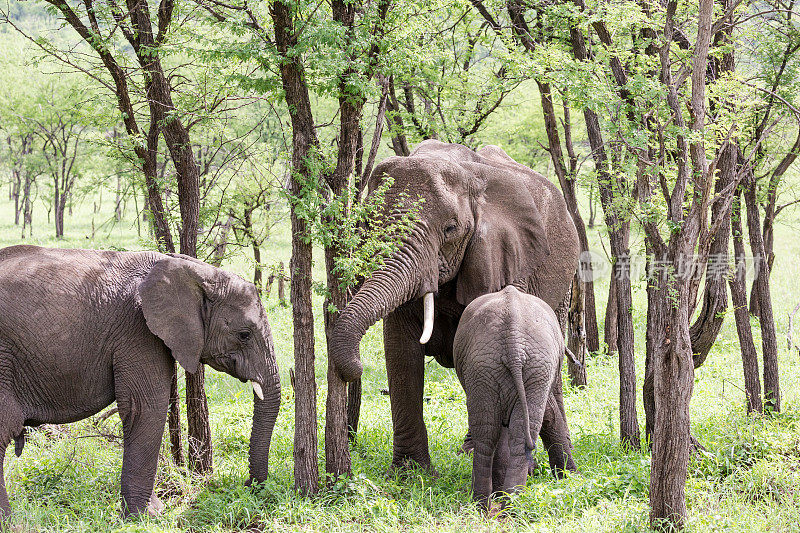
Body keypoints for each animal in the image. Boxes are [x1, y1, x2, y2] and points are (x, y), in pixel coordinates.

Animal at [0, 245, 282, 520]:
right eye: (244, 335)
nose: (248, 486)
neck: (195, 270)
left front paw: (154, 510)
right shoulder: (138, 330)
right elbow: (145, 408)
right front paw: (145, 516)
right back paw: (11, 522)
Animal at [328, 140, 580, 470]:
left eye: (450, 230)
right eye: (369, 224)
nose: (354, 370)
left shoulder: (505, 255)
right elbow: (400, 351)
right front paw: (410, 471)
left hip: (563, 278)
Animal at [454, 286, 564, 508]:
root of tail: (514, 340)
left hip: (492, 366)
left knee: (490, 432)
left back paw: (490, 506)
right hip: (495, 365)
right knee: (498, 432)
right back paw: (499, 506)